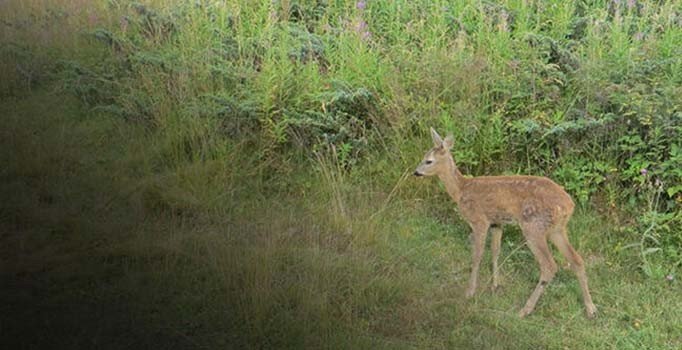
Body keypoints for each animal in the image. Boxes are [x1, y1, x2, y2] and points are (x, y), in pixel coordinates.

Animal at [410, 128, 596, 318]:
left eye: (429, 160)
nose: (415, 172)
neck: (461, 190)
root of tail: (569, 205)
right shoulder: (497, 223)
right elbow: (495, 251)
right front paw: (495, 285)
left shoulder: (479, 220)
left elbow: (477, 255)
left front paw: (470, 292)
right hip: (557, 229)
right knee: (577, 260)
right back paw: (591, 308)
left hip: (533, 226)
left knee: (549, 266)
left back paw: (525, 309)